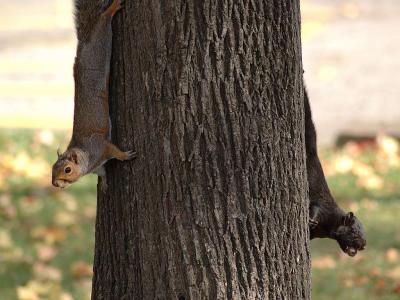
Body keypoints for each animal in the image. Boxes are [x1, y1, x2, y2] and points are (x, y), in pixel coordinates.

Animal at [51, 0, 137, 191]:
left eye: (67, 170)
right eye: (52, 168)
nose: (55, 184)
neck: (87, 157)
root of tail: (84, 43)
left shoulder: (100, 147)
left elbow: (113, 150)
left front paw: (125, 155)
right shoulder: (97, 166)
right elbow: (103, 172)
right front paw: (104, 184)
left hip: (100, 46)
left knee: (103, 23)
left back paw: (111, 9)